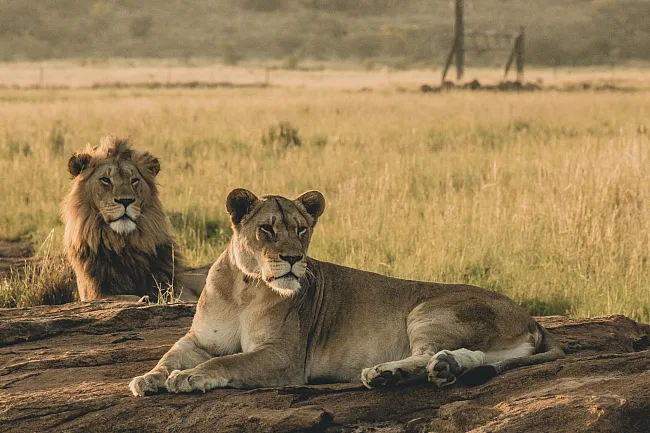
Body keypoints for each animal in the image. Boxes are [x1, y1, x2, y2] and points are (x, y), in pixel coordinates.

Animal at [63, 137, 201, 302]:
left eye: (134, 180)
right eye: (105, 180)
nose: (126, 201)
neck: (124, 245)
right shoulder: (95, 293)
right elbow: (124, 297)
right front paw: (142, 299)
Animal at [128, 189, 560, 394]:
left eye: (301, 229)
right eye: (267, 229)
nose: (293, 258)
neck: (244, 287)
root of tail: (531, 318)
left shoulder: (284, 358)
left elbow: (227, 362)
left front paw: (189, 378)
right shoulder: (199, 339)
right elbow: (169, 356)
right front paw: (148, 379)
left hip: (428, 310)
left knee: (426, 354)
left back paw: (385, 374)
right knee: (471, 356)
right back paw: (442, 369)